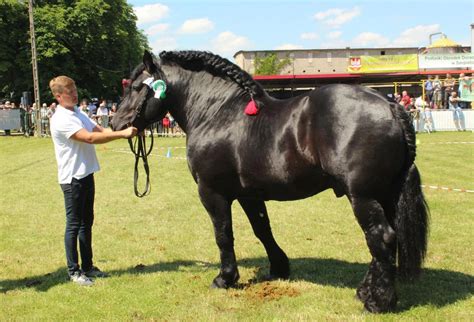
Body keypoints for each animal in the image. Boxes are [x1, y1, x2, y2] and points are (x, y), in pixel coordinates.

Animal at [112, 50, 430, 312]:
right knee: (385, 241)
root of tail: (391, 107)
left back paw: (377, 302)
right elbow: (262, 229)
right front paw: (279, 267)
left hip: (363, 196)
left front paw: (225, 278)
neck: (217, 112)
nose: (116, 124)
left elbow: (223, 234)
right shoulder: (249, 194)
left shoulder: (212, 192)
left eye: (137, 87)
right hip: (384, 195)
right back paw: (366, 291)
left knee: (381, 237)